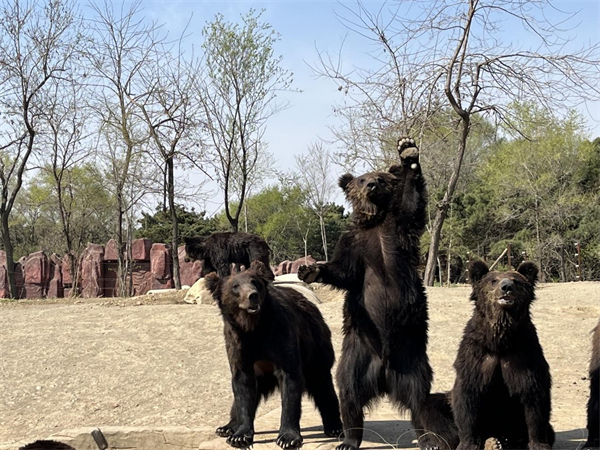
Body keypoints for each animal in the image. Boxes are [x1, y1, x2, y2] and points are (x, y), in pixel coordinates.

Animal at [204, 258, 342, 448]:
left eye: (255, 282)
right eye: (235, 286)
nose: (252, 295)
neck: (253, 328)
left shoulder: (280, 336)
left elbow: (290, 380)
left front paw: (287, 437)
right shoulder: (238, 344)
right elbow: (242, 385)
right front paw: (240, 435)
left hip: (315, 343)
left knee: (321, 382)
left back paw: (335, 427)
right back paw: (226, 427)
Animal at [300, 136, 432, 450]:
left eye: (381, 178)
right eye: (361, 179)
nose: (371, 185)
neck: (375, 221)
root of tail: (384, 374)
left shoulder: (399, 228)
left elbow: (411, 203)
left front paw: (408, 152)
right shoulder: (354, 242)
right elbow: (344, 271)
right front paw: (310, 270)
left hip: (411, 355)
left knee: (420, 397)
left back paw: (428, 439)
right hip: (358, 350)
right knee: (348, 392)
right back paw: (348, 438)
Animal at [420, 260, 556, 450]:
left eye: (516, 280)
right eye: (493, 280)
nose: (506, 287)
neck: (499, 341)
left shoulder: (524, 356)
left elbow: (534, 399)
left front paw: (538, 443)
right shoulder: (476, 359)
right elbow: (467, 400)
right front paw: (467, 443)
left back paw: (503, 441)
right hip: (446, 404)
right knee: (432, 406)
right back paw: (433, 443)